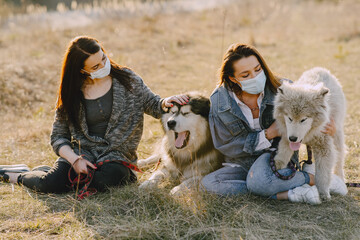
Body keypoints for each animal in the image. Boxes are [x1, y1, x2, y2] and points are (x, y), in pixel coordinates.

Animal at [274, 67, 348, 201]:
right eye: (289, 118)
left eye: (303, 119)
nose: (293, 138)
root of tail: (321, 69)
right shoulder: (286, 137)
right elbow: (282, 155)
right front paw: (277, 168)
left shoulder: (324, 147)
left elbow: (322, 174)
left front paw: (323, 194)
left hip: (337, 134)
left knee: (340, 158)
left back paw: (340, 178)